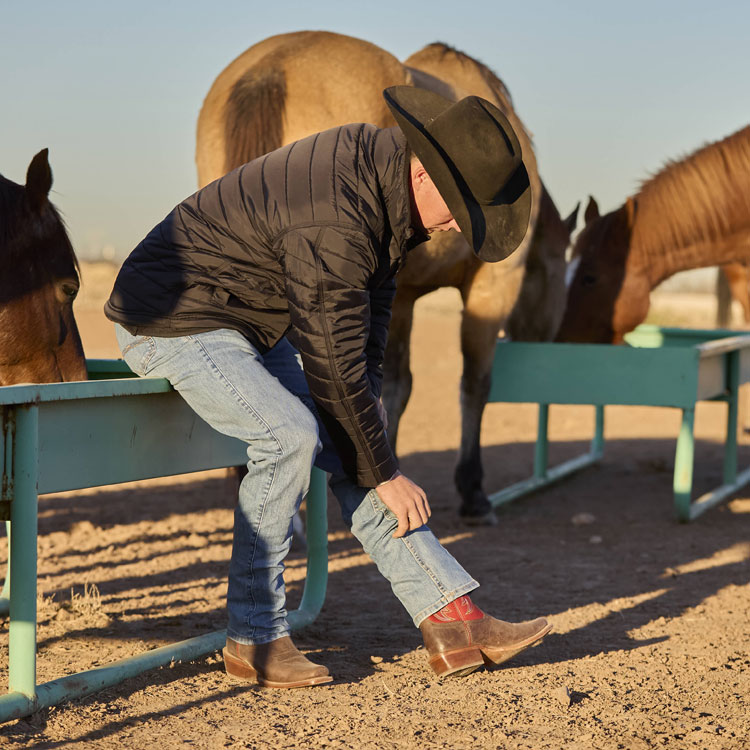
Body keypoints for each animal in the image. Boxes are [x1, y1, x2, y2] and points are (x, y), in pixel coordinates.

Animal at [197, 30, 580, 524]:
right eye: (562, 272)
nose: (553, 338)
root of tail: (271, 68)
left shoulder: (402, 296)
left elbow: (394, 386)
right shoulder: (490, 290)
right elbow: (473, 384)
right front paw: (472, 491)